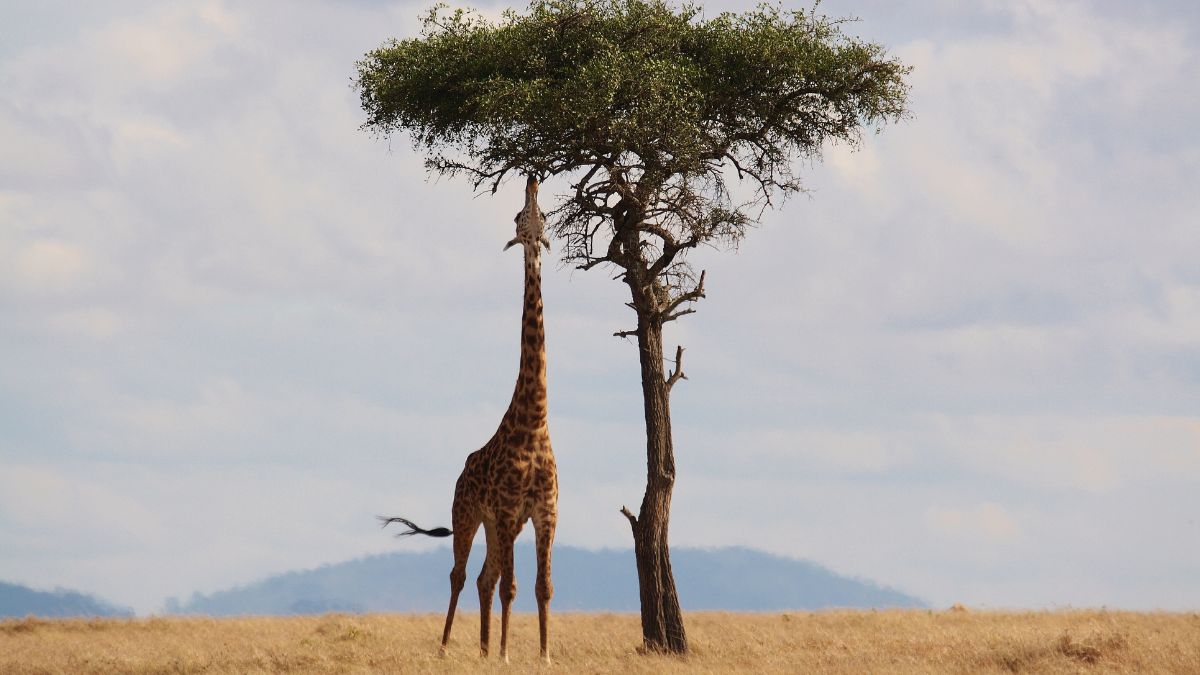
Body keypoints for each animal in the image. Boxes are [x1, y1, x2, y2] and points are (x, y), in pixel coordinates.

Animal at [379, 174, 556, 662]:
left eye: (542, 215)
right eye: (519, 216)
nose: (533, 179)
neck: (535, 421)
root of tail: (460, 472)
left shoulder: (544, 513)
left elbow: (543, 586)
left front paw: (543, 655)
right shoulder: (511, 510)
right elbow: (514, 587)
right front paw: (508, 655)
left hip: (494, 526)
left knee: (483, 577)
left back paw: (481, 650)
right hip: (468, 514)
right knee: (461, 575)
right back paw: (446, 649)